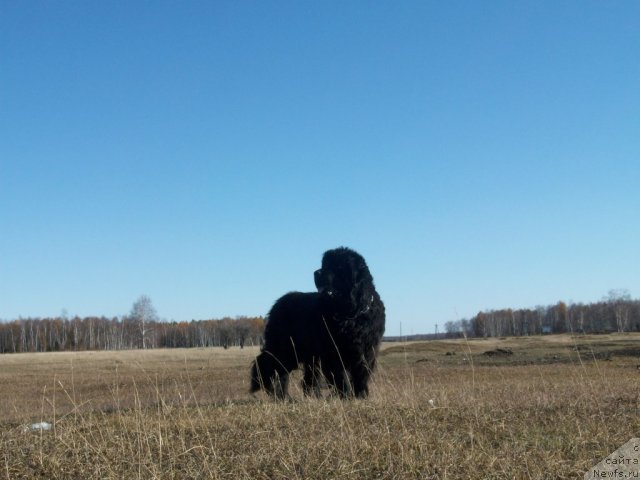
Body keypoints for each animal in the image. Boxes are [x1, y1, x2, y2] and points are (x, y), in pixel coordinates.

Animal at [249, 246, 384, 400]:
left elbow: (362, 374)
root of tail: (278, 303)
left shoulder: (367, 351)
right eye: (324, 264)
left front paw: (361, 395)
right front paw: (346, 396)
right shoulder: (333, 352)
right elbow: (341, 376)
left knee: (300, 375)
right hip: (285, 348)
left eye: (337, 266)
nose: (316, 272)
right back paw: (278, 394)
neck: (351, 315)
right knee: (270, 365)